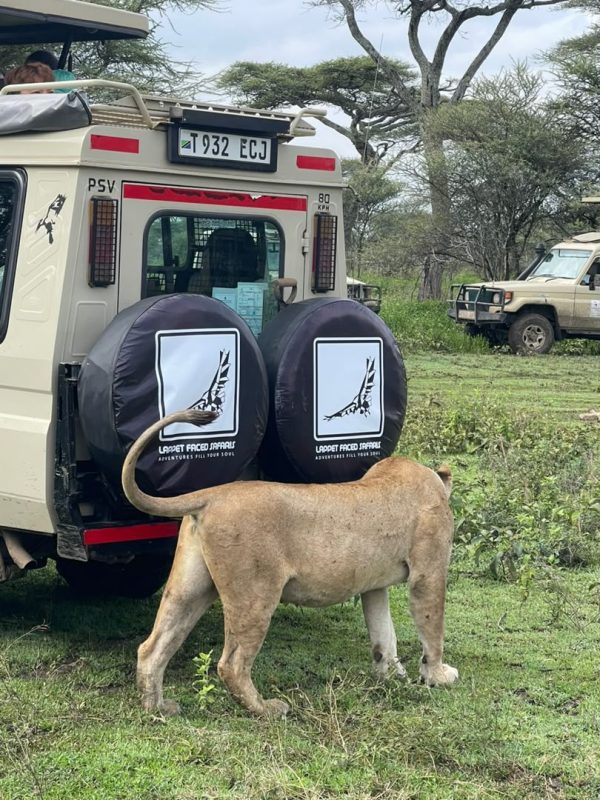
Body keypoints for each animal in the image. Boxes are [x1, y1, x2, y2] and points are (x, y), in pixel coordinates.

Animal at [122, 409, 458, 718]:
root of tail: (212, 495)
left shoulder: (373, 586)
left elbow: (383, 634)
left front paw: (391, 675)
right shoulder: (428, 573)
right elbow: (433, 628)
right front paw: (438, 675)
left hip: (191, 587)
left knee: (152, 647)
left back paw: (157, 708)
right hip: (256, 595)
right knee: (231, 664)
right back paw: (267, 709)